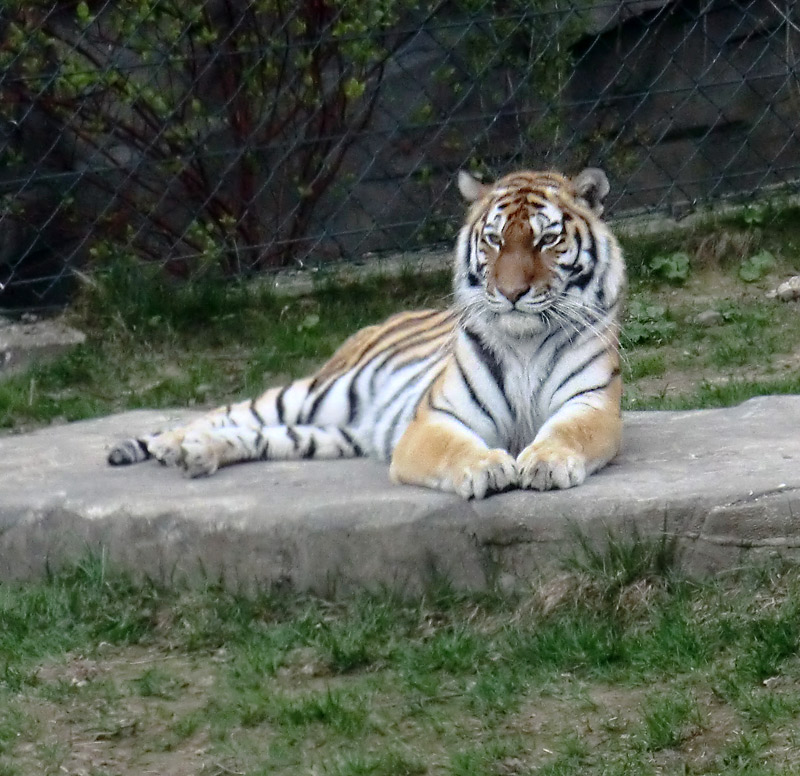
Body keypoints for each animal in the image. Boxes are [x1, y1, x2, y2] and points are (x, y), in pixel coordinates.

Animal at [108, 167, 624, 500]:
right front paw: (488, 466)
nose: (511, 292)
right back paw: (173, 445)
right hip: (317, 392)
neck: (523, 342)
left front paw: (546, 461)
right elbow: (457, 446)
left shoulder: (591, 403)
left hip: (328, 432)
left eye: (547, 239)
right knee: (227, 412)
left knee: (261, 435)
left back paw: (197, 455)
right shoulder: (435, 419)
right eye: (494, 240)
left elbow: (568, 432)